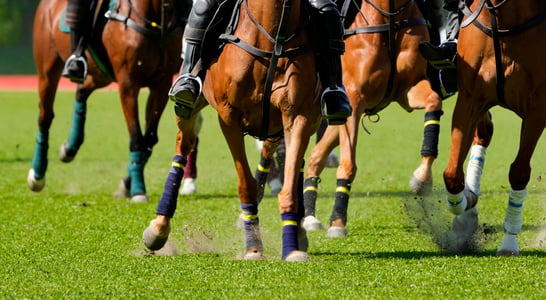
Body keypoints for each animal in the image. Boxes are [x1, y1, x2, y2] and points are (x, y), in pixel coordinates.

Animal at [27, 0, 187, 202]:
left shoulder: (161, 83)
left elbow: (149, 140)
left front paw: (126, 185)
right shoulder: (128, 84)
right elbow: (136, 138)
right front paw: (138, 190)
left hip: (100, 74)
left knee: (81, 92)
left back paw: (69, 148)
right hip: (47, 71)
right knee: (45, 117)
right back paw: (37, 175)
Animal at [142, 0, 320, 260]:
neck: (272, 38)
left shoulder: (298, 116)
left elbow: (288, 187)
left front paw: (291, 249)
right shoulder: (228, 118)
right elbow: (246, 184)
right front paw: (254, 247)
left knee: (293, 164)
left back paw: (299, 233)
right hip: (190, 106)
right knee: (182, 146)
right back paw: (158, 227)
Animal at [300, 0, 444, 236]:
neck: (389, 19)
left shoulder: (408, 88)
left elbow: (434, 102)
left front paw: (422, 178)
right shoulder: (354, 99)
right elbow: (348, 165)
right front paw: (338, 222)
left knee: (315, 157)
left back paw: (310, 217)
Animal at [442, 0, 544, 256]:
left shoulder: (538, 108)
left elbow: (519, 172)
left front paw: (509, 243)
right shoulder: (470, 99)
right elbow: (452, 174)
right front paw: (466, 208)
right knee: (484, 133)